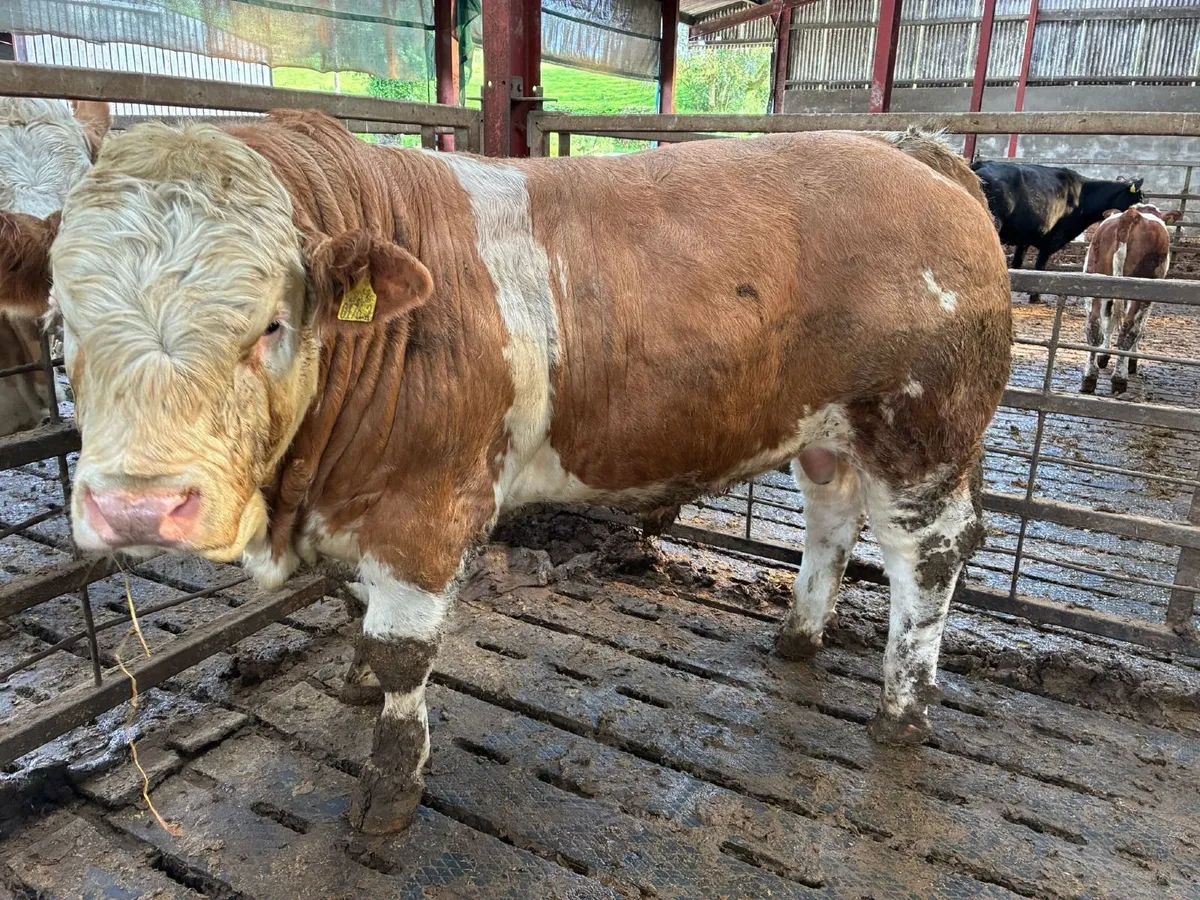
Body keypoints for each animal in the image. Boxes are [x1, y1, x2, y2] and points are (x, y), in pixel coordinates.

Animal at [970, 160, 1144, 304]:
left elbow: (1017, 265)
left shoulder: (1024, 239)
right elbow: (1040, 266)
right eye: (1140, 198)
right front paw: (1035, 296)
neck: (1083, 196)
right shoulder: (1053, 238)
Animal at [1080, 203, 1181, 395]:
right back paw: (1120, 379)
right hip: (1143, 289)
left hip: (1096, 279)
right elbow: (1139, 329)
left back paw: (1089, 377)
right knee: (1128, 329)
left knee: (1094, 325)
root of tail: (1132, 214)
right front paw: (1132, 362)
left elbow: (1109, 322)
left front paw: (1104, 356)